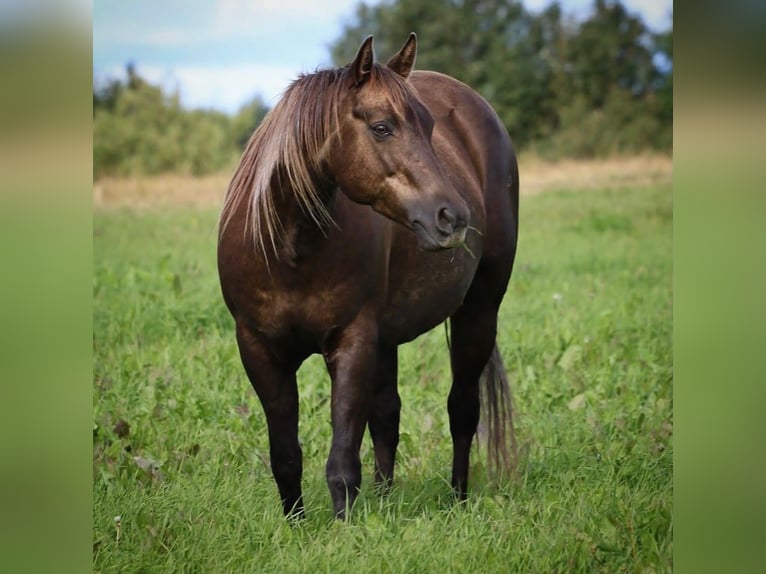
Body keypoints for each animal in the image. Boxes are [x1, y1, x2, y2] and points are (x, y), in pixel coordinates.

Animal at [217, 33, 519, 519]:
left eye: (431, 127)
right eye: (381, 127)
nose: (453, 218)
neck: (290, 252)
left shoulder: (353, 341)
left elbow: (342, 460)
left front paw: (343, 528)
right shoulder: (259, 350)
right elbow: (286, 456)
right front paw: (296, 525)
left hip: (479, 311)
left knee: (462, 409)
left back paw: (457, 499)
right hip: (389, 337)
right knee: (387, 415)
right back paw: (385, 498)